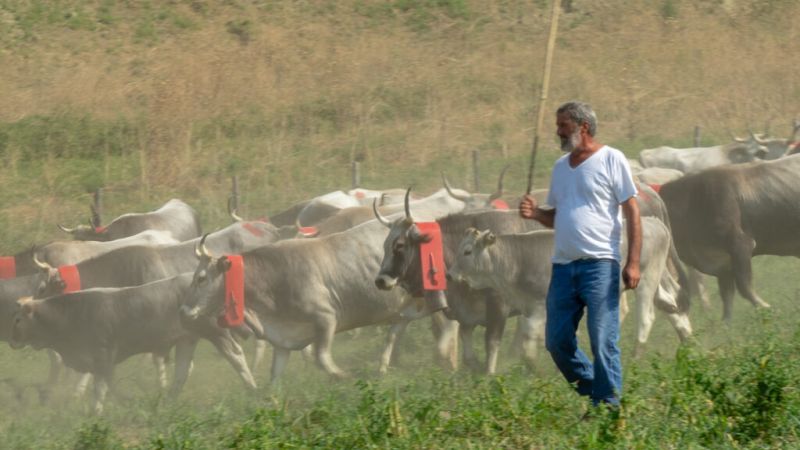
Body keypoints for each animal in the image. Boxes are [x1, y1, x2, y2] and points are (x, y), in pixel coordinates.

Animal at [10, 272, 256, 414]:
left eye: (18, 319)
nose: (11, 340)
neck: (73, 313)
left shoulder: (102, 353)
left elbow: (100, 387)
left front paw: (96, 410)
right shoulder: (102, 361)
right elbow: (110, 384)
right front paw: (125, 401)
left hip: (216, 332)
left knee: (236, 356)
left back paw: (251, 388)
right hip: (187, 339)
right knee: (182, 371)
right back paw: (168, 401)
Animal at [656, 155, 800, 320]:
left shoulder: (740, 245)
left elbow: (745, 288)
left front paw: (769, 309)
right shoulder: (722, 265)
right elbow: (727, 299)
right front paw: (726, 324)